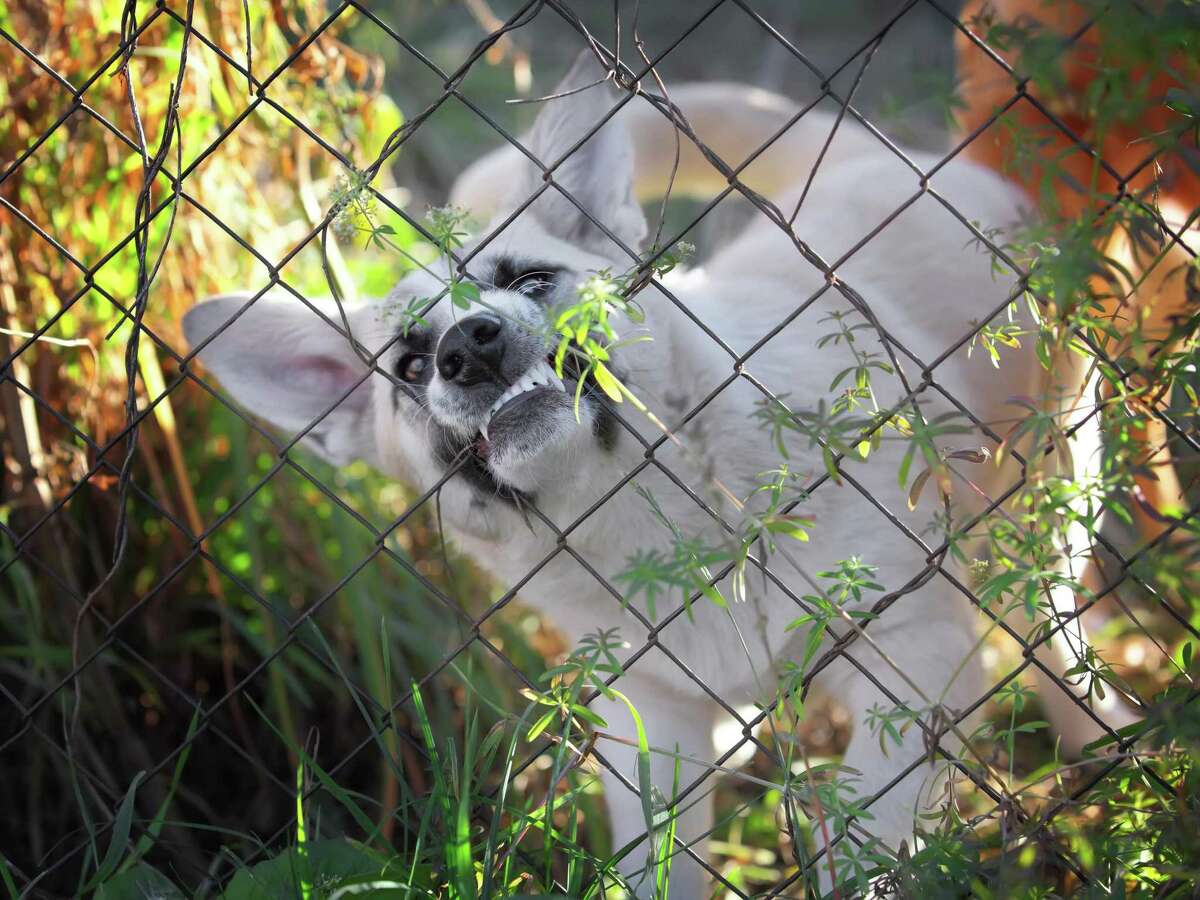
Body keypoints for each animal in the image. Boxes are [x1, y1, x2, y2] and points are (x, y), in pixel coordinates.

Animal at [182, 54, 1128, 897]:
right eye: (410, 367)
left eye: (531, 279)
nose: (468, 347)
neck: (650, 513)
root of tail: (879, 156)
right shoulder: (654, 732)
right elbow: (662, 865)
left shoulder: (913, 656)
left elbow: (875, 837)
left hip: (1046, 512)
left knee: (1053, 637)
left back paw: (1106, 737)